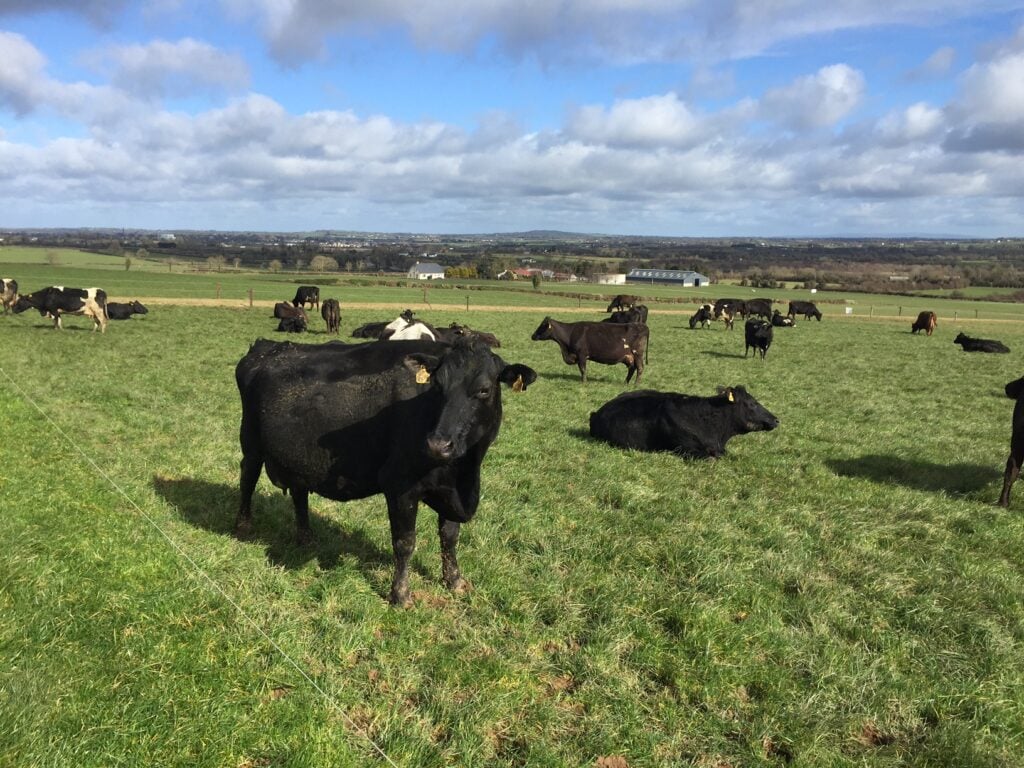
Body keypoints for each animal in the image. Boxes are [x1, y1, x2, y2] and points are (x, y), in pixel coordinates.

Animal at [234, 337, 538, 606]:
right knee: (247, 477)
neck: (463, 474)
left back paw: (306, 538)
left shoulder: (449, 491)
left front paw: (455, 581)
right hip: (251, 442)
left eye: (484, 390)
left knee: (299, 492)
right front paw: (401, 595)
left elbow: (450, 537)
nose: (438, 444)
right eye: (438, 386)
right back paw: (243, 525)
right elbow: (405, 543)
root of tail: (268, 346)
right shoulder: (400, 486)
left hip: (299, 456)